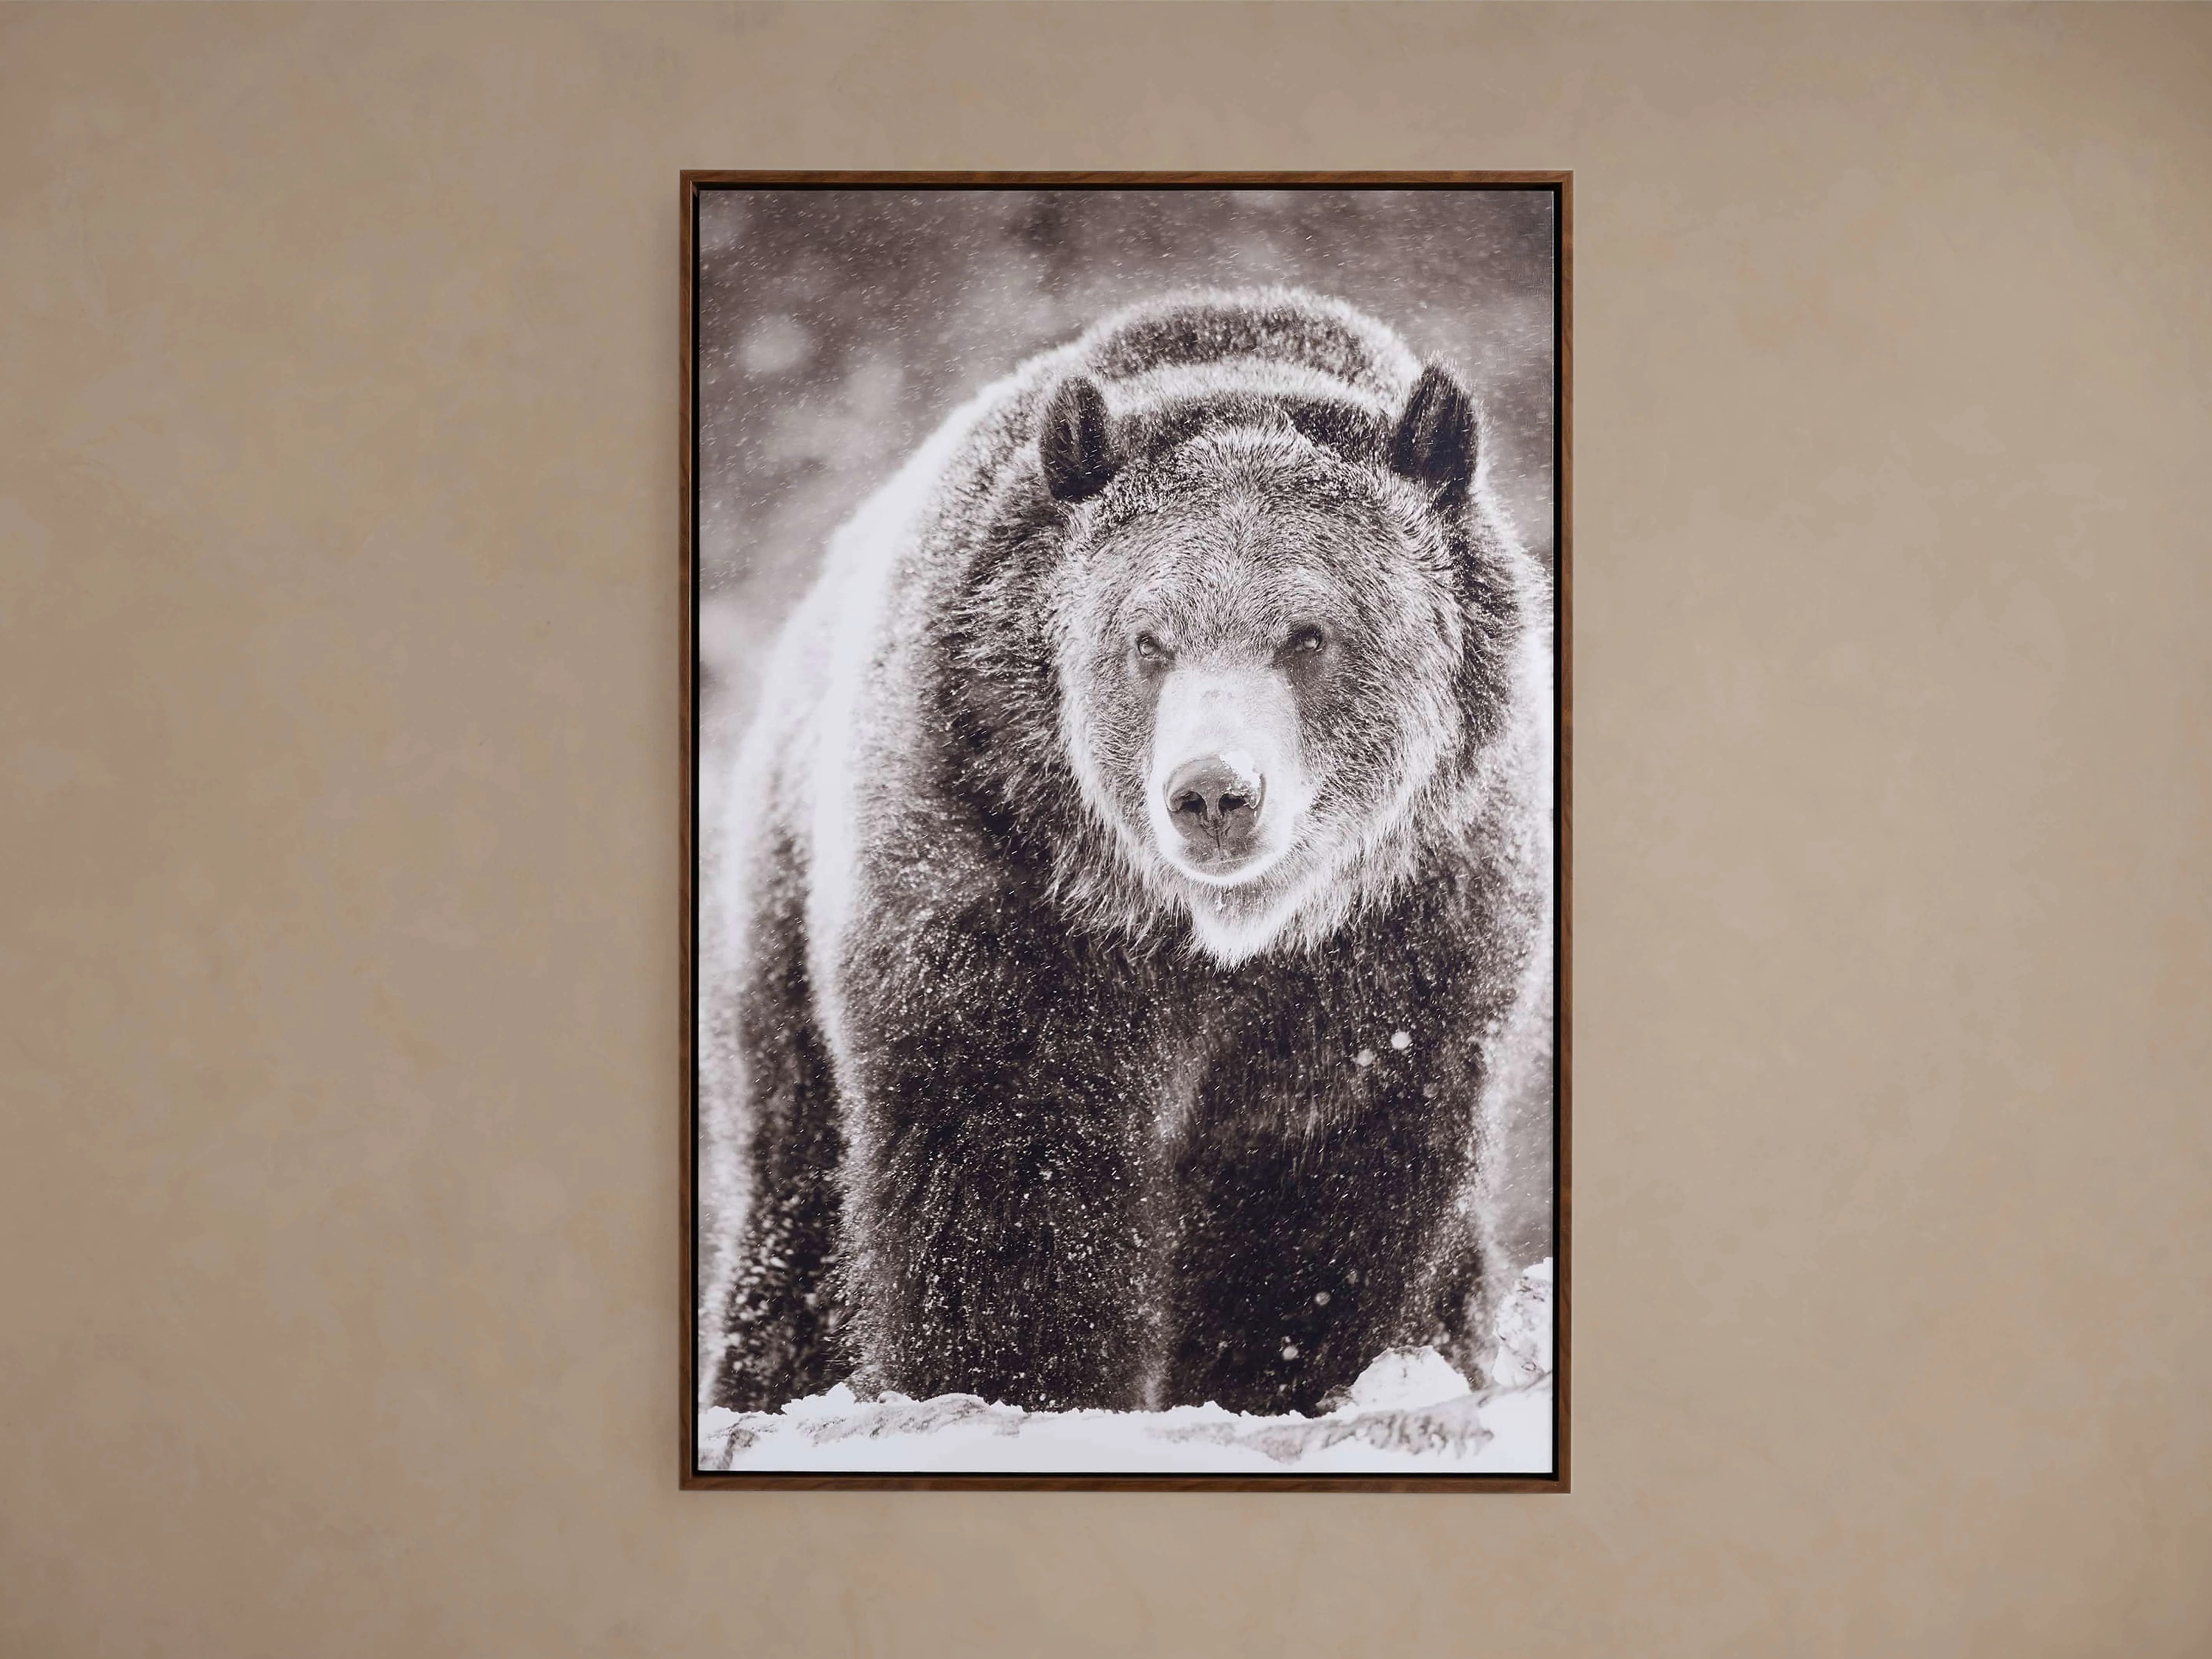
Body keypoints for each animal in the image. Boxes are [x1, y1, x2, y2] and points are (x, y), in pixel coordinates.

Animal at [703, 288, 1554, 1418]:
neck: (1211, 937)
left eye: (1309, 633)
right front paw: (1017, 1378)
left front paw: (1277, 1369)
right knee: (795, 1186)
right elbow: (1009, 1159)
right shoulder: (997, 865)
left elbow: (1323, 1186)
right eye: (1147, 638)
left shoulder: (1405, 930)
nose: (1213, 792)